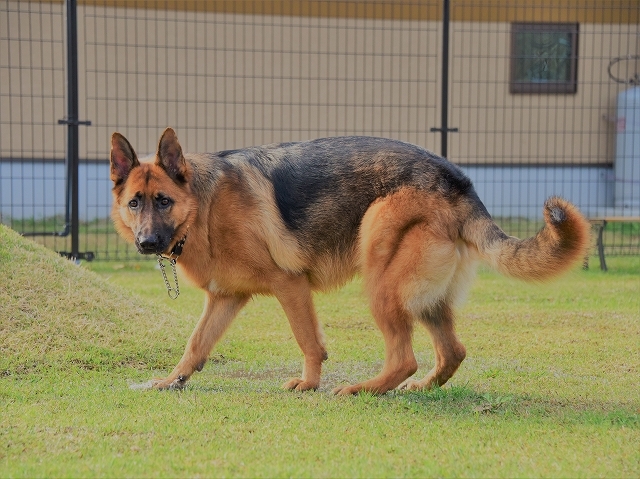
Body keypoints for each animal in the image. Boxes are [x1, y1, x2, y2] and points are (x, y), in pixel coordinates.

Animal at [110, 127, 592, 394]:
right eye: (134, 202)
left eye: (163, 200)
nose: (147, 243)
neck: (203, 205)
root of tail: (459, 181)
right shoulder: (225, 298)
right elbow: (195, 344)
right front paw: (172, 380)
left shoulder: (289, 285)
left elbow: (308, 341)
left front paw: (308, 384)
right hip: (425, 299)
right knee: (451, 352)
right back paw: (416, 389)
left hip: (380, 273)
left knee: (404, 358)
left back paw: (363, 389)